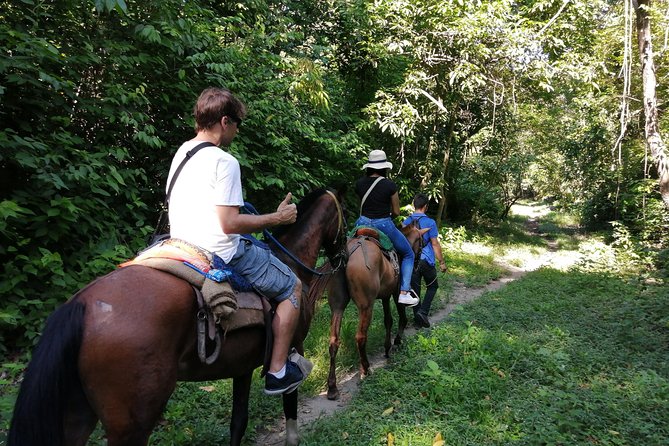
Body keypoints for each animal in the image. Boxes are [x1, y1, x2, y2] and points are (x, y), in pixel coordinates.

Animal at [9, 187, 344, 446]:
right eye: (342, 222)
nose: (340, 258)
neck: (293, 263)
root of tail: (82, 304)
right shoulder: (294, 348)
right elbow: (290, 404)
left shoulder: (242, 367)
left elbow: (238, 421)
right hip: (132, 423)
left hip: (76, 411)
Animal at [324, 223, 428, 400]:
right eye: (422, 243)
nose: (417, 265)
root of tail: (348, 255)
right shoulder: (396, 293)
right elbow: (401, 318)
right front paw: (396, 342)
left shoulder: (385, 296)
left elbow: (388, 320)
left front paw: (387, 348)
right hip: (366, 305)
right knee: (360, 337)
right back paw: (365, 369)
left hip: (337, 306)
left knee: (334, 341)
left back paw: (332, 387)